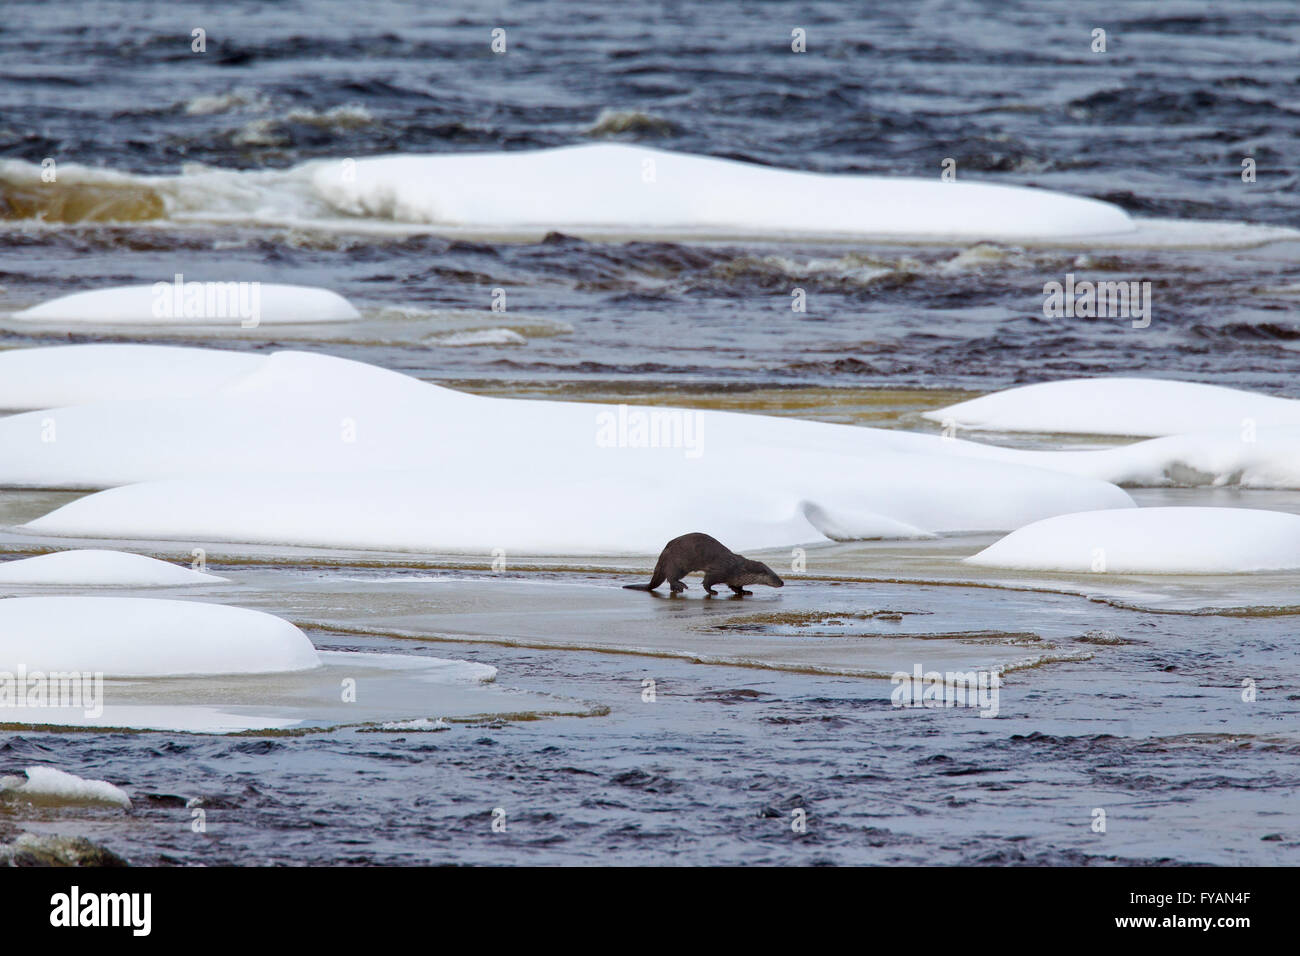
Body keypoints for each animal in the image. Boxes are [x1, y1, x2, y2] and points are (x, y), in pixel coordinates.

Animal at [618, 530, 780, 598]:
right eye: (773, 575)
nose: (782, 582)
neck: (736, 568)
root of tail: (665, 551)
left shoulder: (733, 577)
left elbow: (735, 586)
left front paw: (744, 591)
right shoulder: (719, 571)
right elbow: (707, 582)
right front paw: (712, 592)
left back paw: (677, 589)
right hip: (677, 563)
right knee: (671, 576)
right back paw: (680, 586)